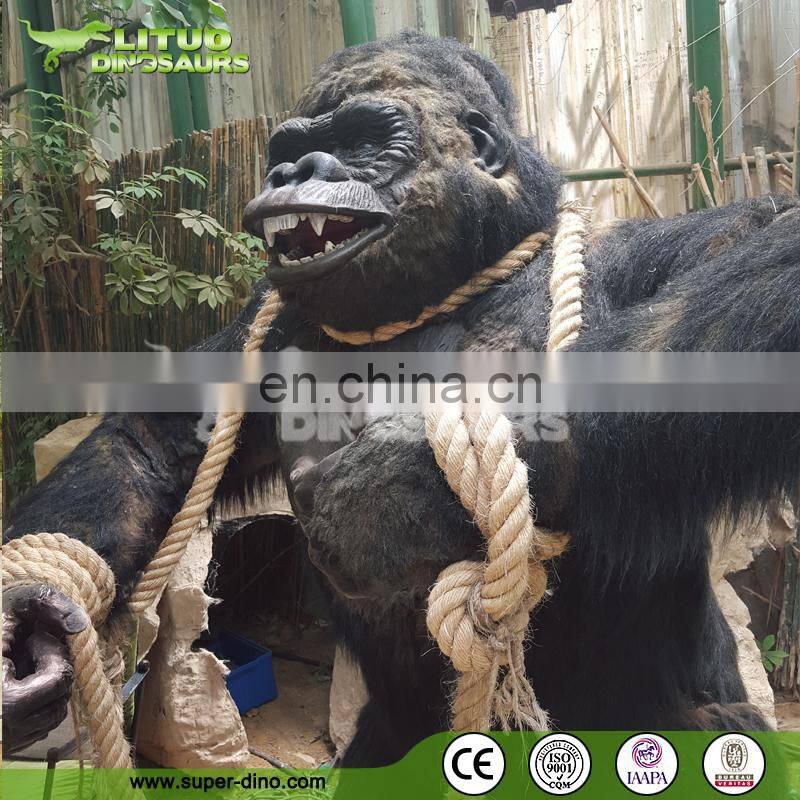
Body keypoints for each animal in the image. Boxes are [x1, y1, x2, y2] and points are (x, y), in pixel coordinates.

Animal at [4, 33, 800, 767]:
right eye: (291, 148)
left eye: (358, 139)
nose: (294, 169)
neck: (445, 288)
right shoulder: (261, 326)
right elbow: (154, 439)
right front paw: (29, 619)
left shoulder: (651, 252)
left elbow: (764, 265)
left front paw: (400, 488)